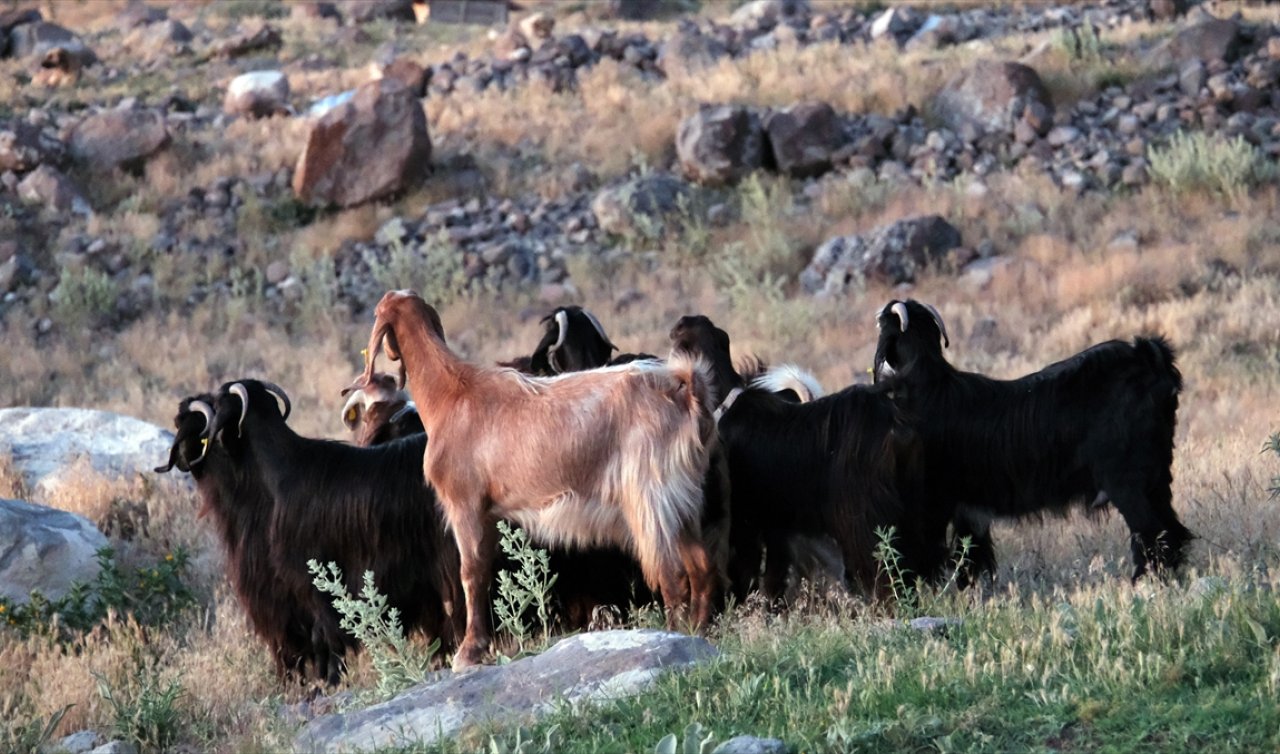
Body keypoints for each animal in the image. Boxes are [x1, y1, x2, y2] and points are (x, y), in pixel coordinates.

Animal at [355, 290, 727, 665]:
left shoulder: (466, 505)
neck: (452, 393)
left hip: (649, 492)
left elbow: (470, 573)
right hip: (681, 496)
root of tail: (685, 390)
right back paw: (700, 628)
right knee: (702, 565)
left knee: (672, 571)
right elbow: (484, 571)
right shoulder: (489, 513)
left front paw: (469, 652)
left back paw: (674, 633)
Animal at [665, 311, 947, 599]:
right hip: (911, 506)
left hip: (866, 517)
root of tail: (897, 425)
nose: (685, 319)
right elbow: (774, 575)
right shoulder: (775, 525)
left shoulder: (743, 520)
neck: (726, 400)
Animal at [870, 296, 1187, 578]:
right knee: (1172, 530)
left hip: (1126, 481)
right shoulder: (968, 510)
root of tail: (1149, 358)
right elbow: (972, 557)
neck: (928, 386)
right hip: (1157, 477)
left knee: (1151, 531)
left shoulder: (936, 502)